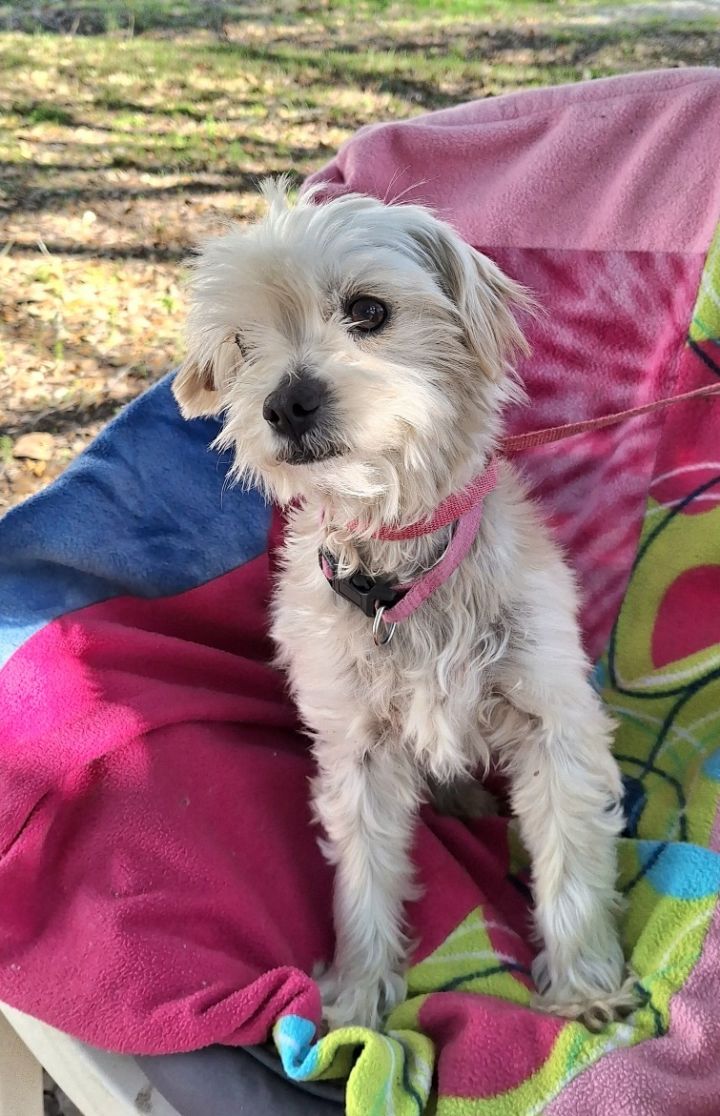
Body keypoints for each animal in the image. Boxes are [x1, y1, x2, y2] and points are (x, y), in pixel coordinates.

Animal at [174, 180, 634, 1026]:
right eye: (243, 345)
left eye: (369, 311)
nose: (283, 405)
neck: (397, 565)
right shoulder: (355, 746)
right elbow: (364, 872)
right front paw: (358, 995)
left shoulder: (554, 721)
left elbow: (572, 857)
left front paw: (586, 983)